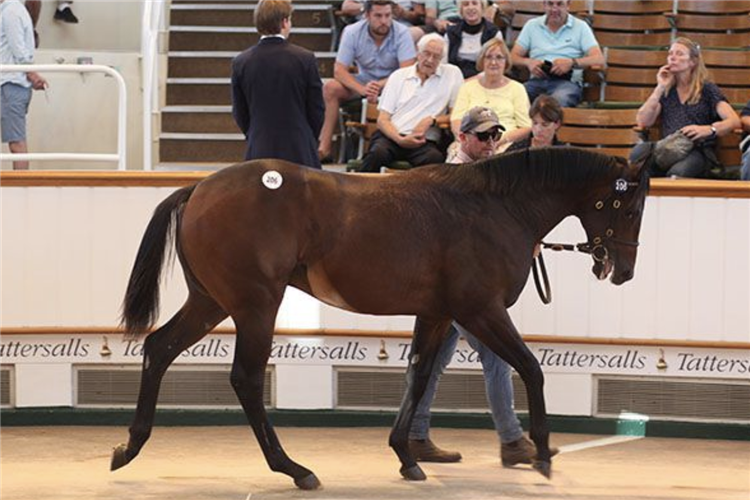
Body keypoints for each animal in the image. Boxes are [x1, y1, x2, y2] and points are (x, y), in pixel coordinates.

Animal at [110, 146, 652, 490]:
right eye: (630, 207)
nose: (623, 270)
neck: (493, 208)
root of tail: (199, 187)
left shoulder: (438, 313)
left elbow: (419, 376)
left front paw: (407, 456)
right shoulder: (482, 310)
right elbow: (530, 369)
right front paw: (540, 454)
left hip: (212, 301)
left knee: (158, 347)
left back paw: (129, 447)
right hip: (254, 305)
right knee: (245, 378)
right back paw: (294, 469)